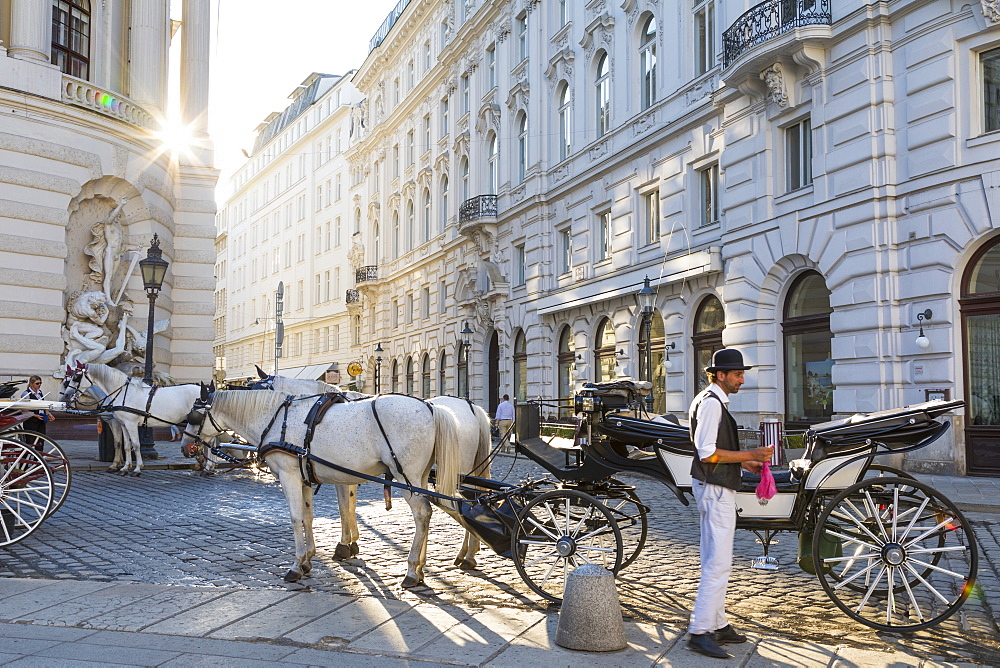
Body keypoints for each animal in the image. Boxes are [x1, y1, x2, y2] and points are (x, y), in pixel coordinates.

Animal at [59, 362, 204, 478]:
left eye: (76, 377)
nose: (66, 396)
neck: (123, 392)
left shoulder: (131, 423)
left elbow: (136, 444)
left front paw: (137, 468)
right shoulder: (123, 424)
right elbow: (126, 445)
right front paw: (124, 467)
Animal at [180, 388, 460, 588]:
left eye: (194, 417)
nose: (185, 446)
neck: (276, 419)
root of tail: (429, 406)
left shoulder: (289, 476)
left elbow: (295, 518)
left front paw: (295, 565)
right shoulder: (304, 477)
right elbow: (308, 517)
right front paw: (307, 559)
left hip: (406, 476)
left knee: (422, 513)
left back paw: (412, 570)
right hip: (420, 477)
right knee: (426, 514)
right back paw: (420, 568)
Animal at [252, 370, 494, 568]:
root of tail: (472, 408)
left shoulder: (341, 474)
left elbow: (344, 507)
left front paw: (345, 545)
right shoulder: (346, 474)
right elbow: (349, 506)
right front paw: (351, 543)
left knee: (464, 504)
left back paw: (464, 555)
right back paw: (467, 553)